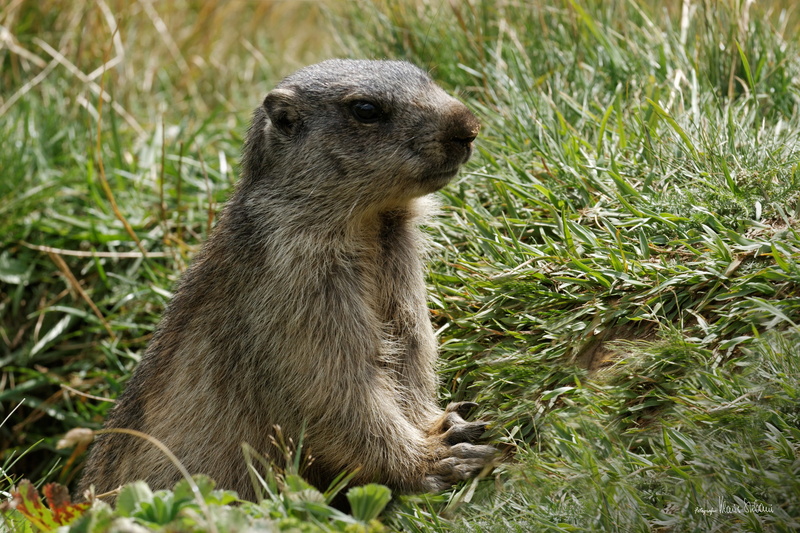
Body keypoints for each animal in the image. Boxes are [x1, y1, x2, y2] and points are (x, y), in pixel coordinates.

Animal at [78, 59, 496, 502]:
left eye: (423, 74)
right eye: (365, 109)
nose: (468, 125)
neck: (372, 227)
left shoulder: (400, 270)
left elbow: (413, 347)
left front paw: (445, 421)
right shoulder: (296, 287)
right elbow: (332, 385)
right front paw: (438, 456)